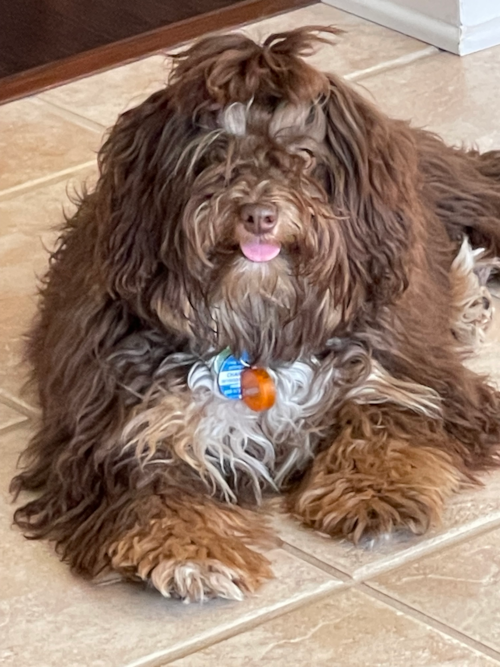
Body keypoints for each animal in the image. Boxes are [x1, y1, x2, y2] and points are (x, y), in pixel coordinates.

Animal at [10, 26, 500, 604]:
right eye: (213, 155)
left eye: (302, 157)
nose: (259, 214)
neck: (258, 325)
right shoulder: (117, 431)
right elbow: (154, 489)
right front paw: (187, 553)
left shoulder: (406, 371)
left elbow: (383, 417)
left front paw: (375, 491)